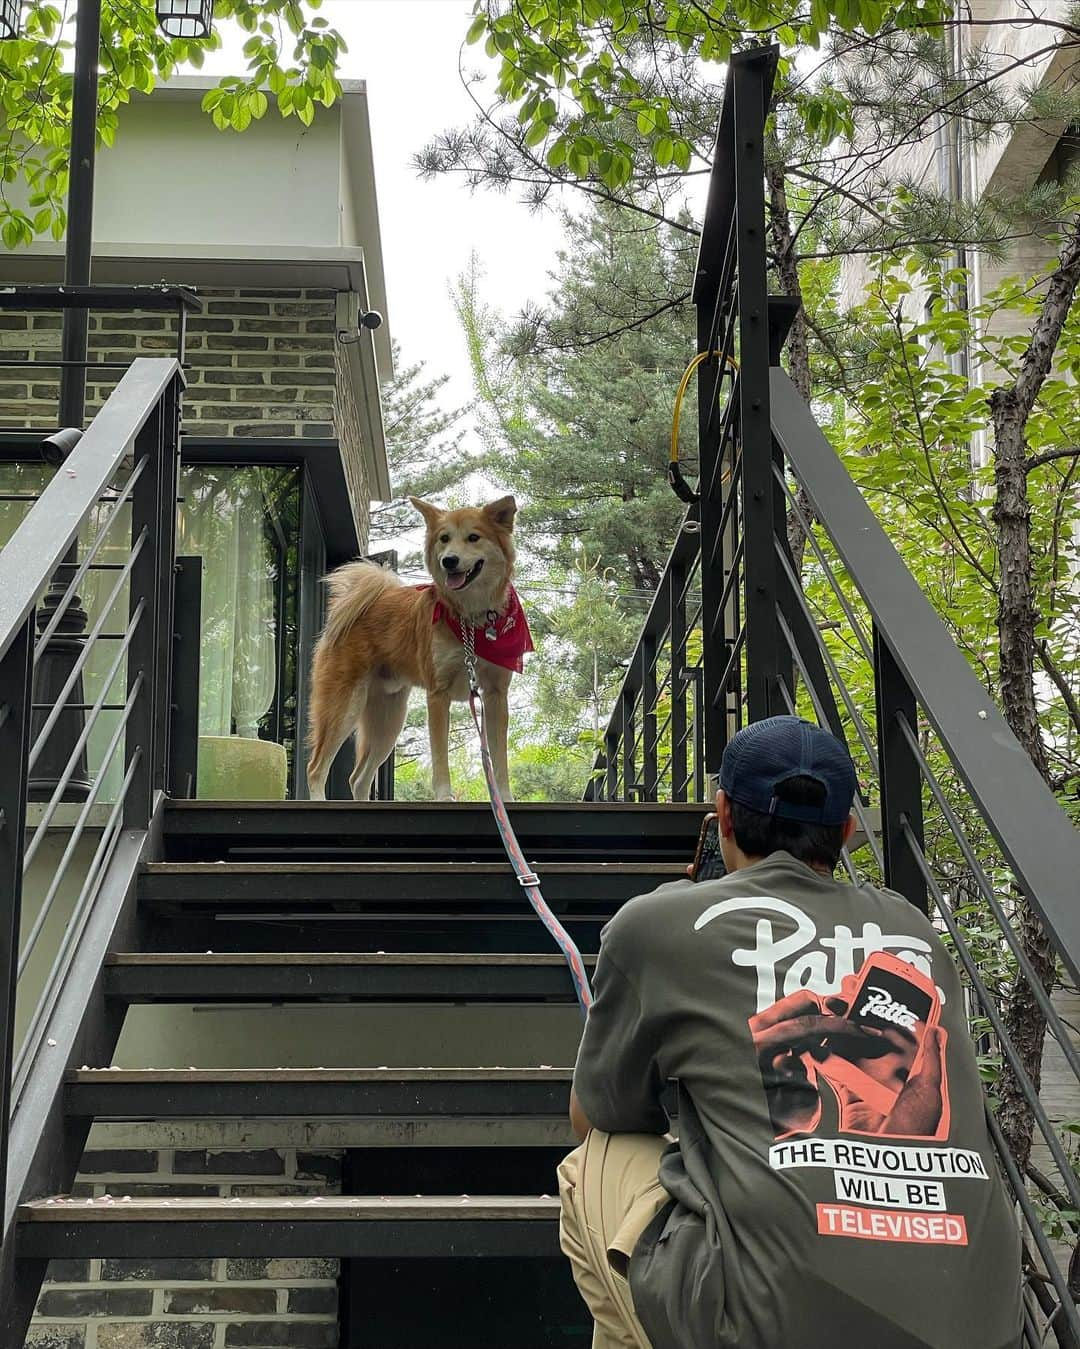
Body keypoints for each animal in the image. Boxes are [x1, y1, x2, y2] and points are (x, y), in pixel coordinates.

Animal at [303, 499, 531, 798]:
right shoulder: (438, 695)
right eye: (444, 539)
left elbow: (499, 761)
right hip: (343, 706)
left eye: (473, 537)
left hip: (388, 720)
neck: (471, 619)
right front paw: (444, 797)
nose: (449, 561)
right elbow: (440, 758)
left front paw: (504, 798)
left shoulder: (495, 696)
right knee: (316, 768)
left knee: (358, 779)